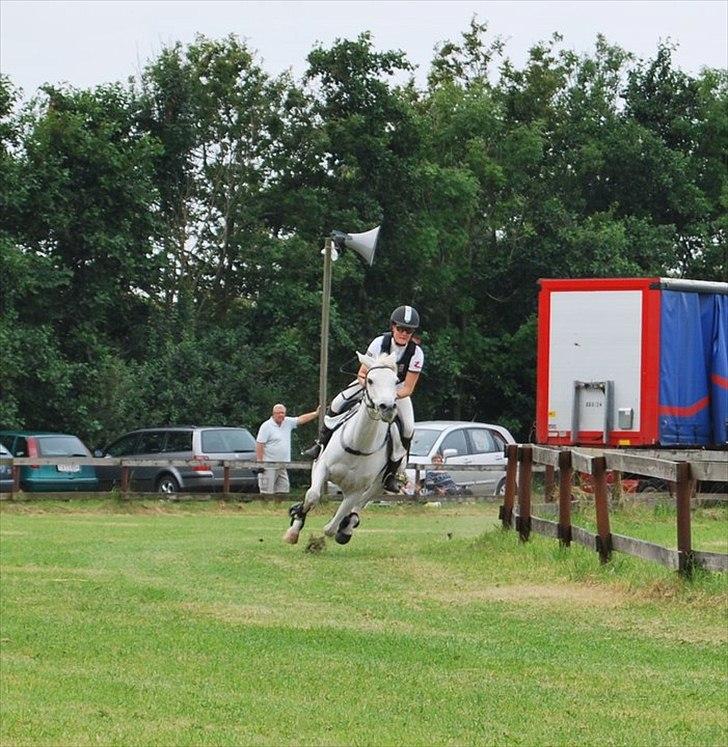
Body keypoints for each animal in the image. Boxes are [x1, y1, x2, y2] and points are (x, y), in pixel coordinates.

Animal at [282, 348, 404, 548]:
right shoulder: (322, 468)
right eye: (370, 380)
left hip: (376, 486)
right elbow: (312, 495)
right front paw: (294, 526)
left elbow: (331, 527)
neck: (358, 444)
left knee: (358, 506)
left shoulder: (358, 489)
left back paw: (347, 527)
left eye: (396, 381)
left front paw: (339, 529)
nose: (387, 408)